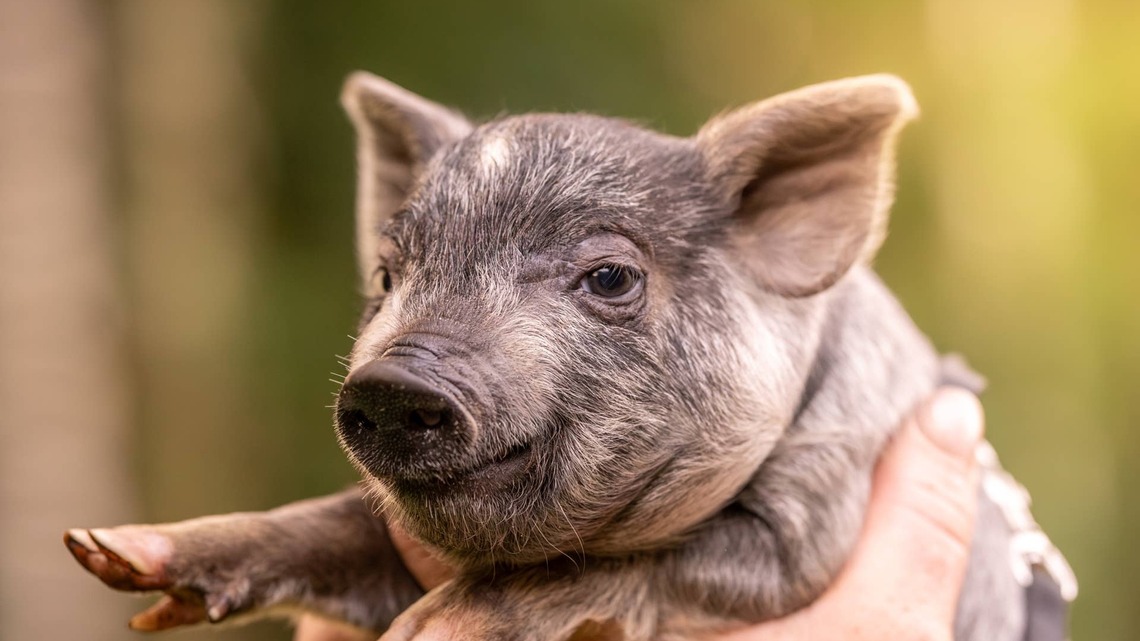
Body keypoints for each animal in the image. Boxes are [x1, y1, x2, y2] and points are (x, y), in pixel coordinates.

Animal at [64, 72, 1075, 641]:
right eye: (388, 275)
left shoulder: (813, 525)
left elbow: (608, 566)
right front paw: (108, 551)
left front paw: (431, 629)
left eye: (610, 276)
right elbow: (328, 523)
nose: (396, 381)